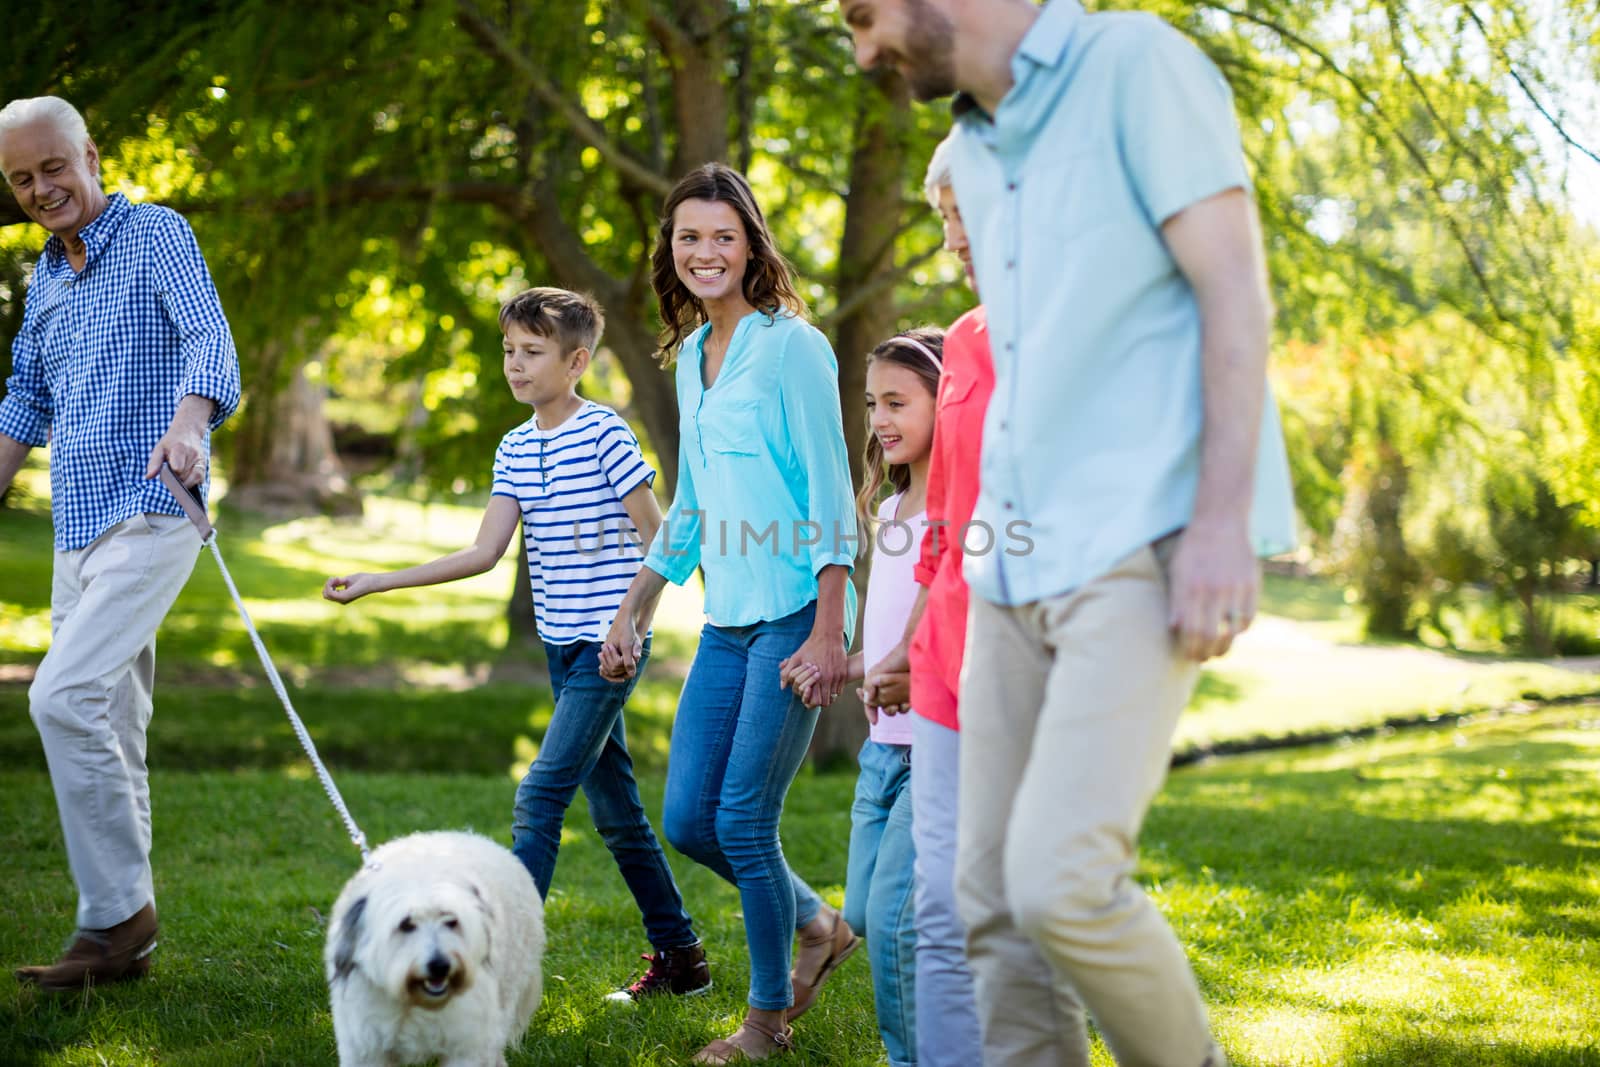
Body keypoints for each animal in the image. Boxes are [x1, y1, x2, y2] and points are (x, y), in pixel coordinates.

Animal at [328, 831, 547, 1067]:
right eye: (406, 924)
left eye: (451, 921)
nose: (440, 966)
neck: (415, 1001)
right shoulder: (365, 1047)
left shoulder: (467, 1043)